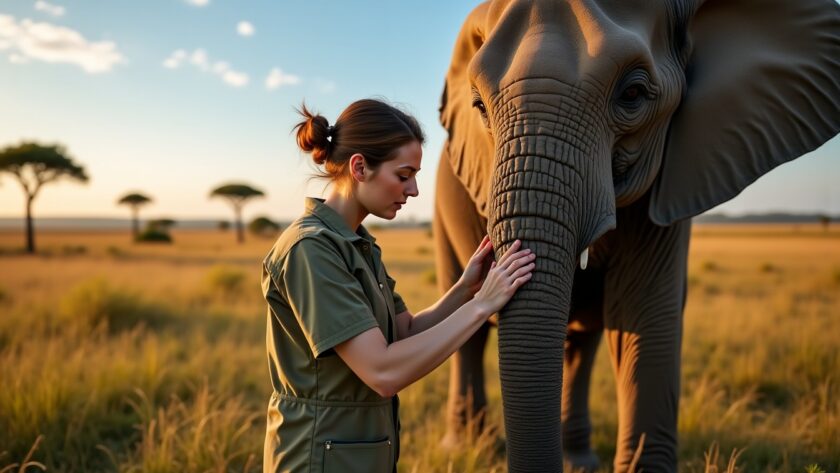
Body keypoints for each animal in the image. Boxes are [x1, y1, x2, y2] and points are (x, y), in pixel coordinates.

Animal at [431, 0, 840, 471]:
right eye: (479, 105)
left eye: (632, 95)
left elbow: (642, 318)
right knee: (470, 322)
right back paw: (465, 448)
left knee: (579, 339)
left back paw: (578, 461)